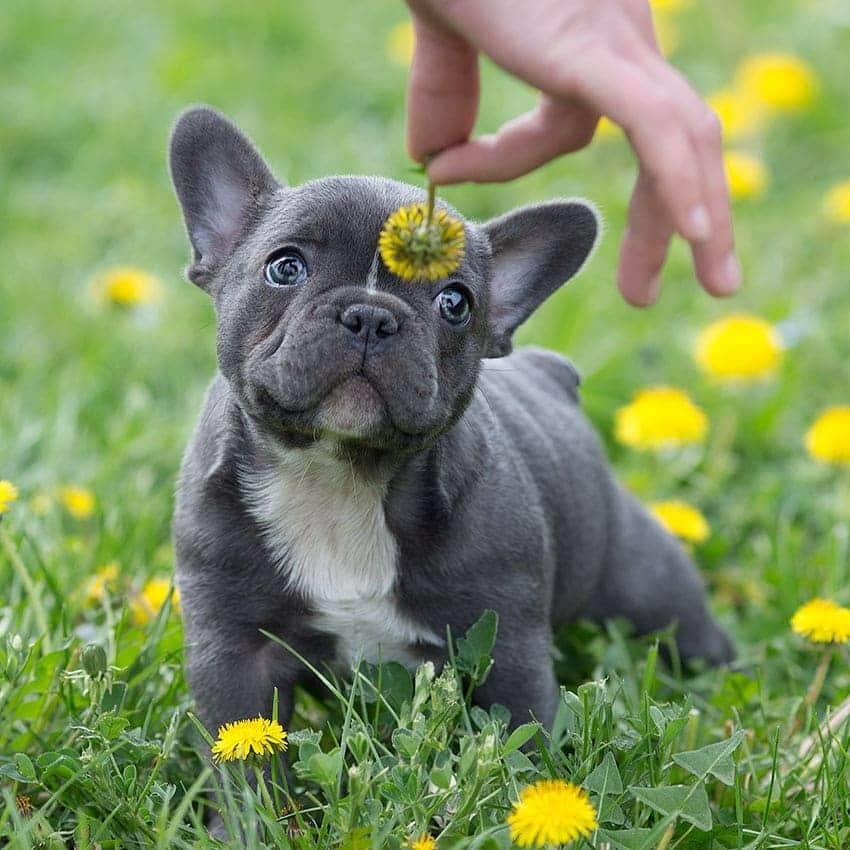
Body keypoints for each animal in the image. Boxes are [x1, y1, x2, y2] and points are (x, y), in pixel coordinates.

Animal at [169, 107, 732, 744]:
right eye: (285, 267)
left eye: (455, 303)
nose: (371, 315)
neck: (339, 479)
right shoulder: (236, 652)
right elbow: (247, 750)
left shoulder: (505, 649)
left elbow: (523, 737)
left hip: (647, 585)